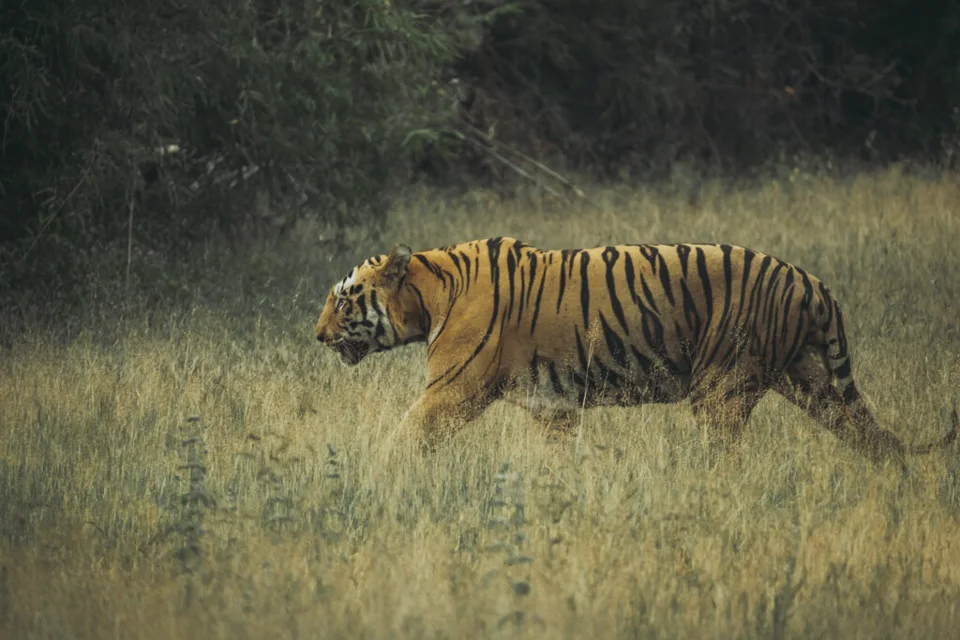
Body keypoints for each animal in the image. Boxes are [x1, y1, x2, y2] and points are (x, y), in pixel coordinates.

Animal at [314, 237, 957, 468]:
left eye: (343, 299)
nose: (316, 336)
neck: (429, 290)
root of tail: (812, 282)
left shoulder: (452, 389)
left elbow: (406, 432)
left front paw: (374, 470)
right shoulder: (553, 405)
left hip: (722, 388)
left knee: (728, 458)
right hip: (812, 380)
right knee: (870, 436)